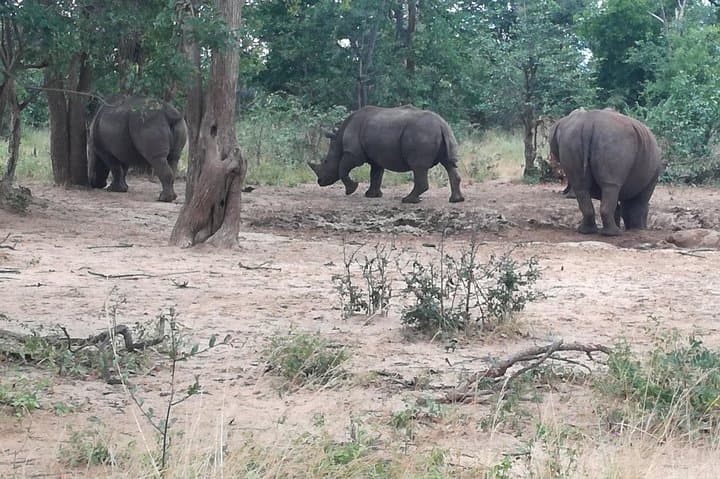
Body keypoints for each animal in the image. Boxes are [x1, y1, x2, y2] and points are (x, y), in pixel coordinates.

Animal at [308, 105, 464, 204]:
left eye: (325, 161)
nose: (320, 182)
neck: (338, 140)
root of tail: (441, 124)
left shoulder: (352, 153)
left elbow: (342, 169)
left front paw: (351, 190)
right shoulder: (376, 157)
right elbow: (376, 174)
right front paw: (372, 196)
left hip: (422, 133)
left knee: (418, 167)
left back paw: (408, 200)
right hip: (444, 133)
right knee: (448, 164)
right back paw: (456, 200)